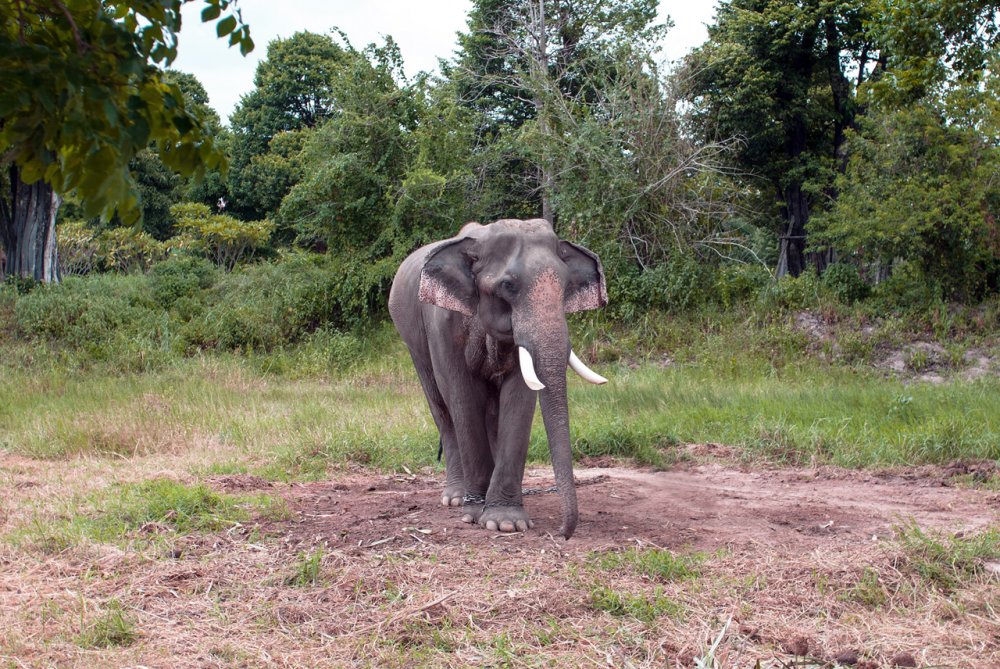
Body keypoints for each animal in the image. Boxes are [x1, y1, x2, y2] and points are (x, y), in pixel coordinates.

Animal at [388, 217, 608, 540]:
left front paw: (506, 522)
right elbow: (462, 396)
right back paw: (456, 498)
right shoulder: (444, 324)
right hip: (411, 338)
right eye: (508, 285)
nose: (562, 533)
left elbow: (519, 396)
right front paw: (476, 514)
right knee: (442, 408)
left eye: (566, 286)